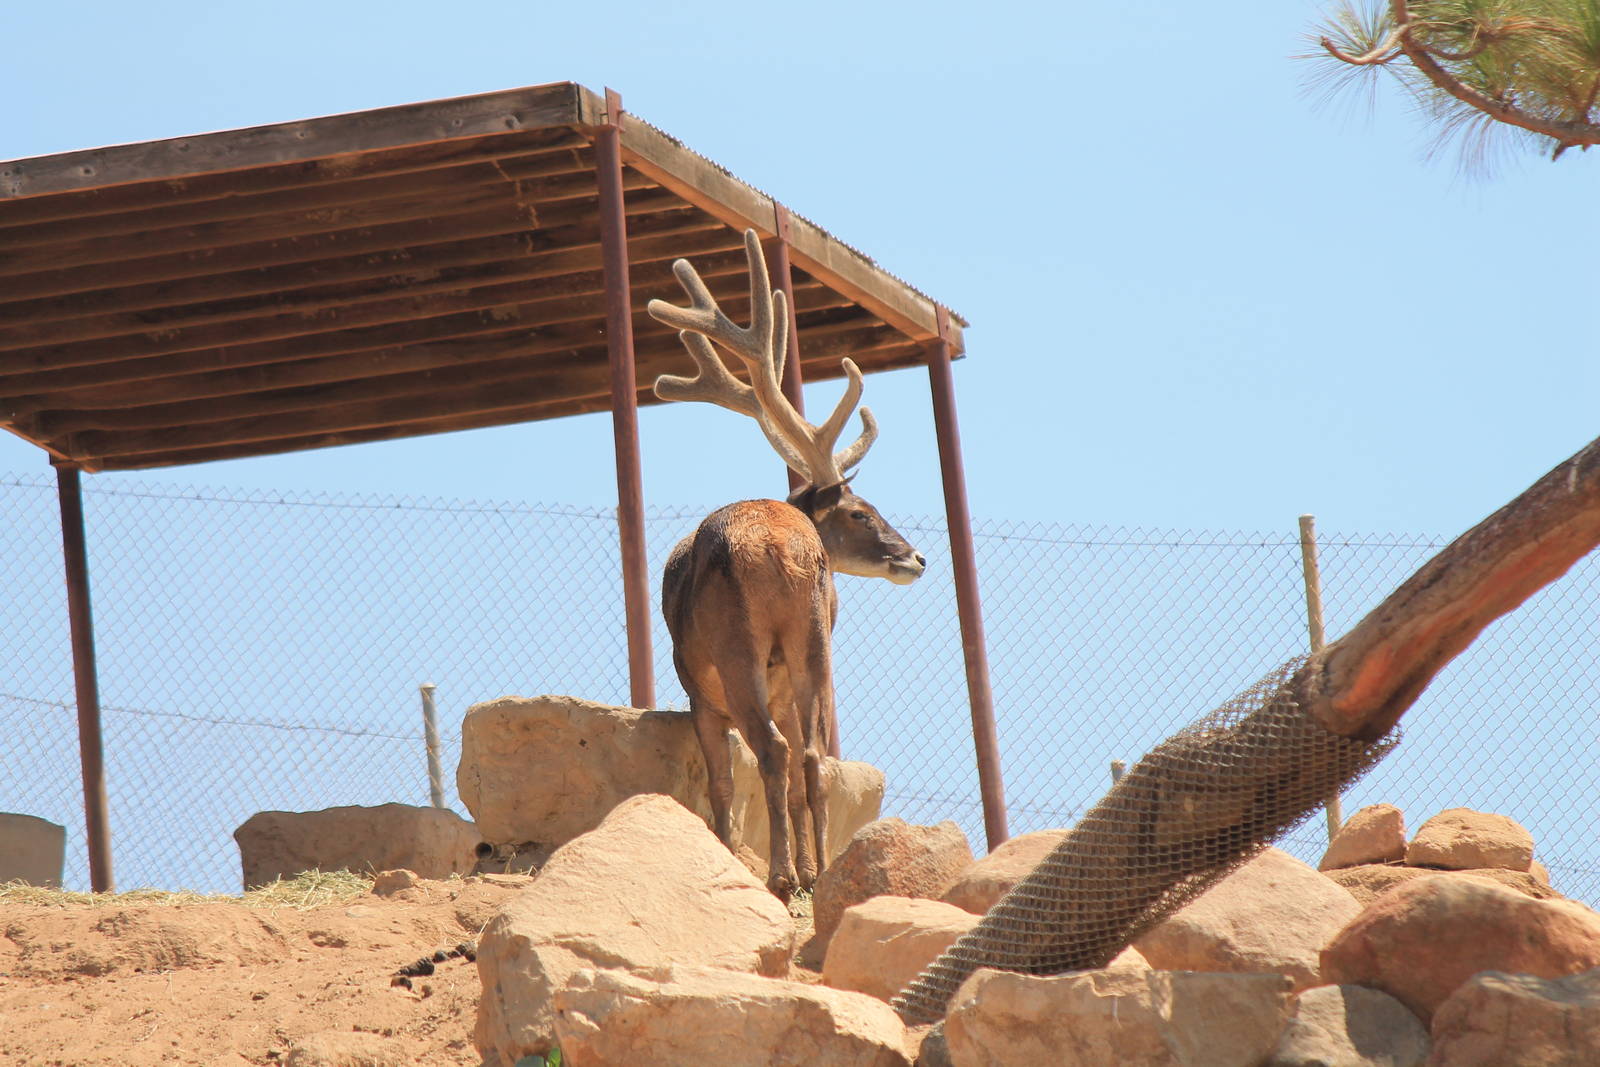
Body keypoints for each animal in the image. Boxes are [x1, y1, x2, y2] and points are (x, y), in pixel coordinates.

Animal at [647, 229, 927, 900]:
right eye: (860, 511)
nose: (917, 557)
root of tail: (784, 549)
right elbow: (800, 775)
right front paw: (804, 866)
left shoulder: (697, 691)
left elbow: (723, 780)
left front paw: (734, 853)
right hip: (815, 643)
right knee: (812, 758)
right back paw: (817, 873)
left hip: (735, 648)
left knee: (773, 752)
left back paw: (777, 875)